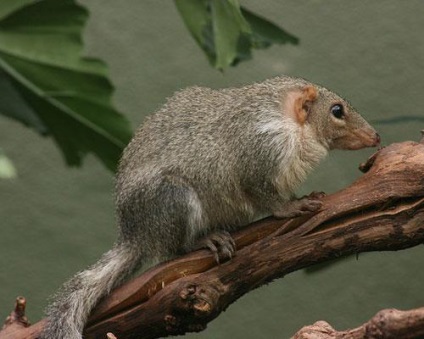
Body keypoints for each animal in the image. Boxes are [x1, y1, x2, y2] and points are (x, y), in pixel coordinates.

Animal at [41, 76, 380, 339]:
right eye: (337, 110)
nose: (375, 135)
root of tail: (135, 233)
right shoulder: (259, 153)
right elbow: (266, 197)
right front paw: (291, 207)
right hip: (172, 198)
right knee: (173, 251)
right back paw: (206, 240)